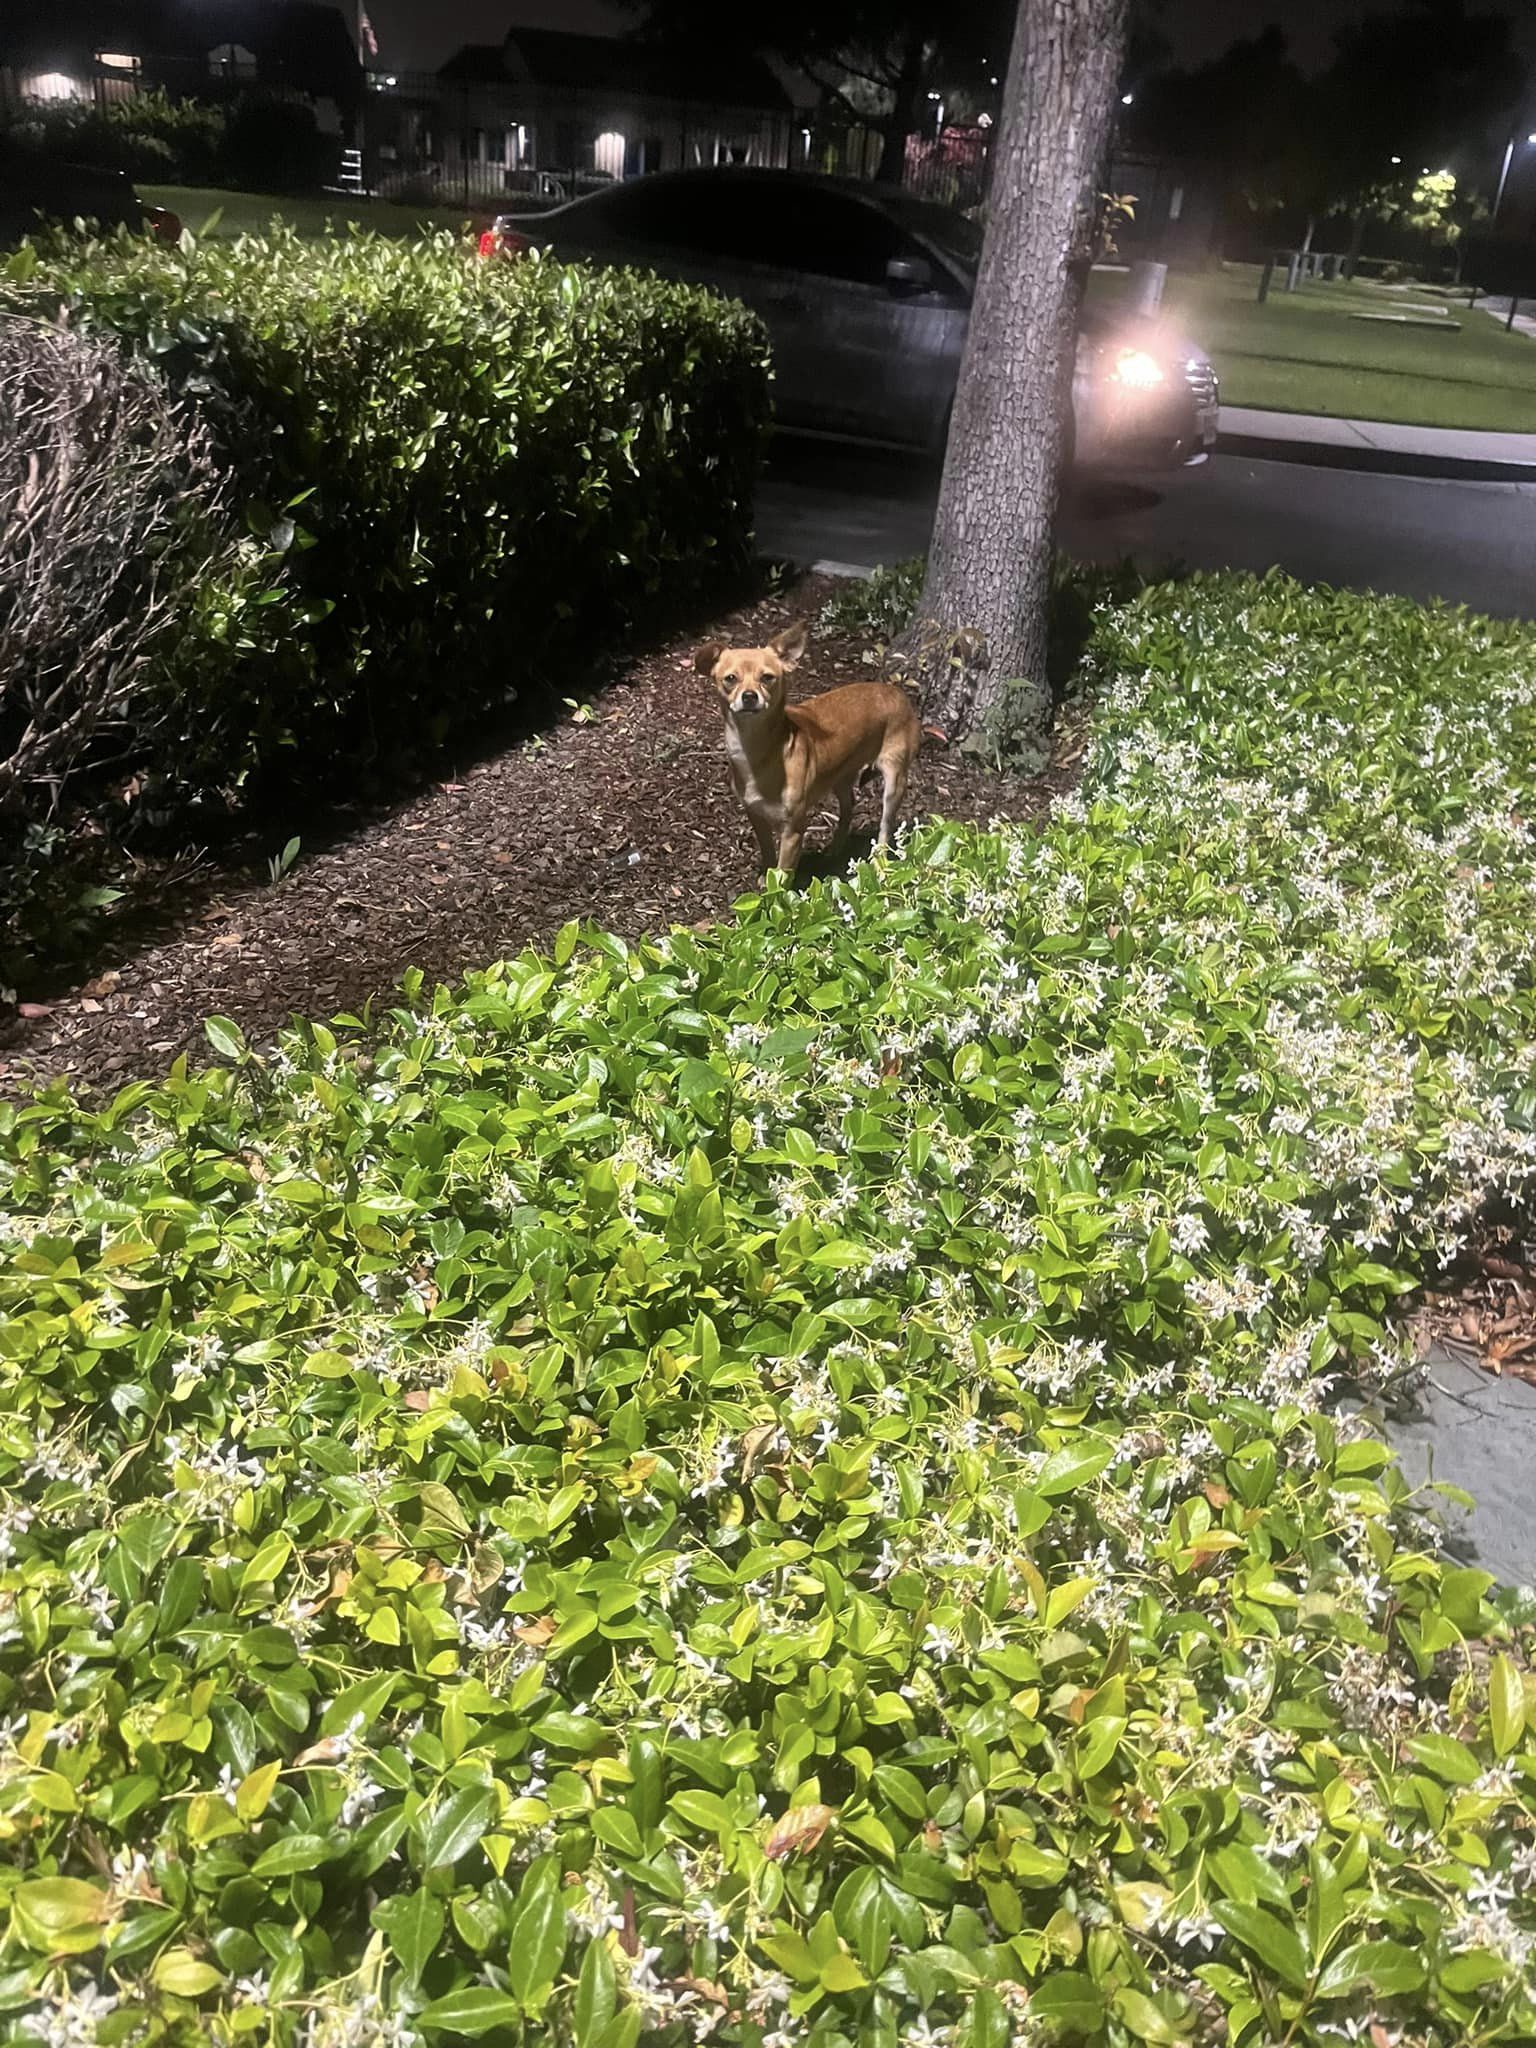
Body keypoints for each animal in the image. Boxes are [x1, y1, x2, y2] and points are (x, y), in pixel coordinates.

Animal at [700, 622, 925, 880]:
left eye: (767, 678)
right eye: (730, 679)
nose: (749, 696)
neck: (755, 750)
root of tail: (899, 693)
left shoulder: (793, 831)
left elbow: (782, 876)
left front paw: (776, 890)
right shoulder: (756, 817)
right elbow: (768, 853)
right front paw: (764, 878)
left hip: (894, 782)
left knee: (885, 829)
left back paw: (879, 865)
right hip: (840, 777)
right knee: (849, 806)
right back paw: (835, 849)